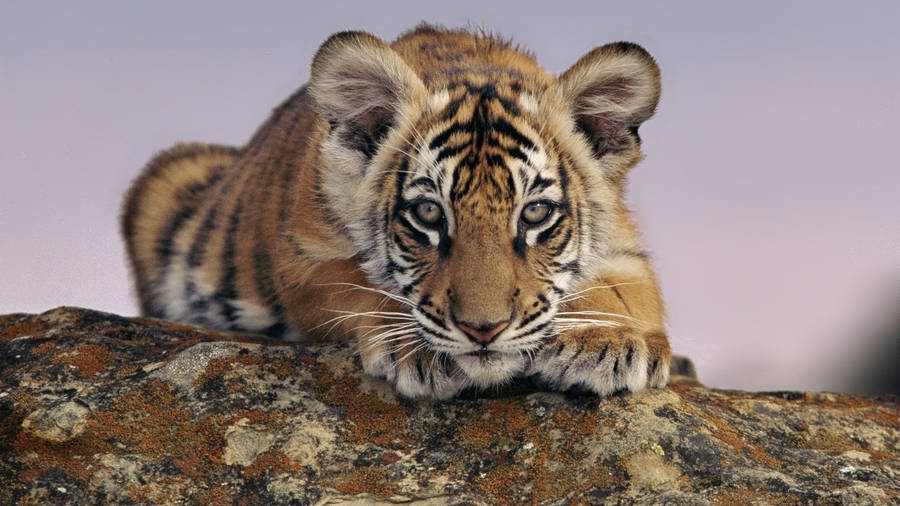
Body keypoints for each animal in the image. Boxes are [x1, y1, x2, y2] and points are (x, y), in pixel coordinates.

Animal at [121, 25, 671, 399]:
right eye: (428, 213)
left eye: (534, 214)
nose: (483, 331)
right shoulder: (303, 259)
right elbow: (359, 284)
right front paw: (417, 348)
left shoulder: (626, 250)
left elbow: (622, 293)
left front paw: (605, 341)